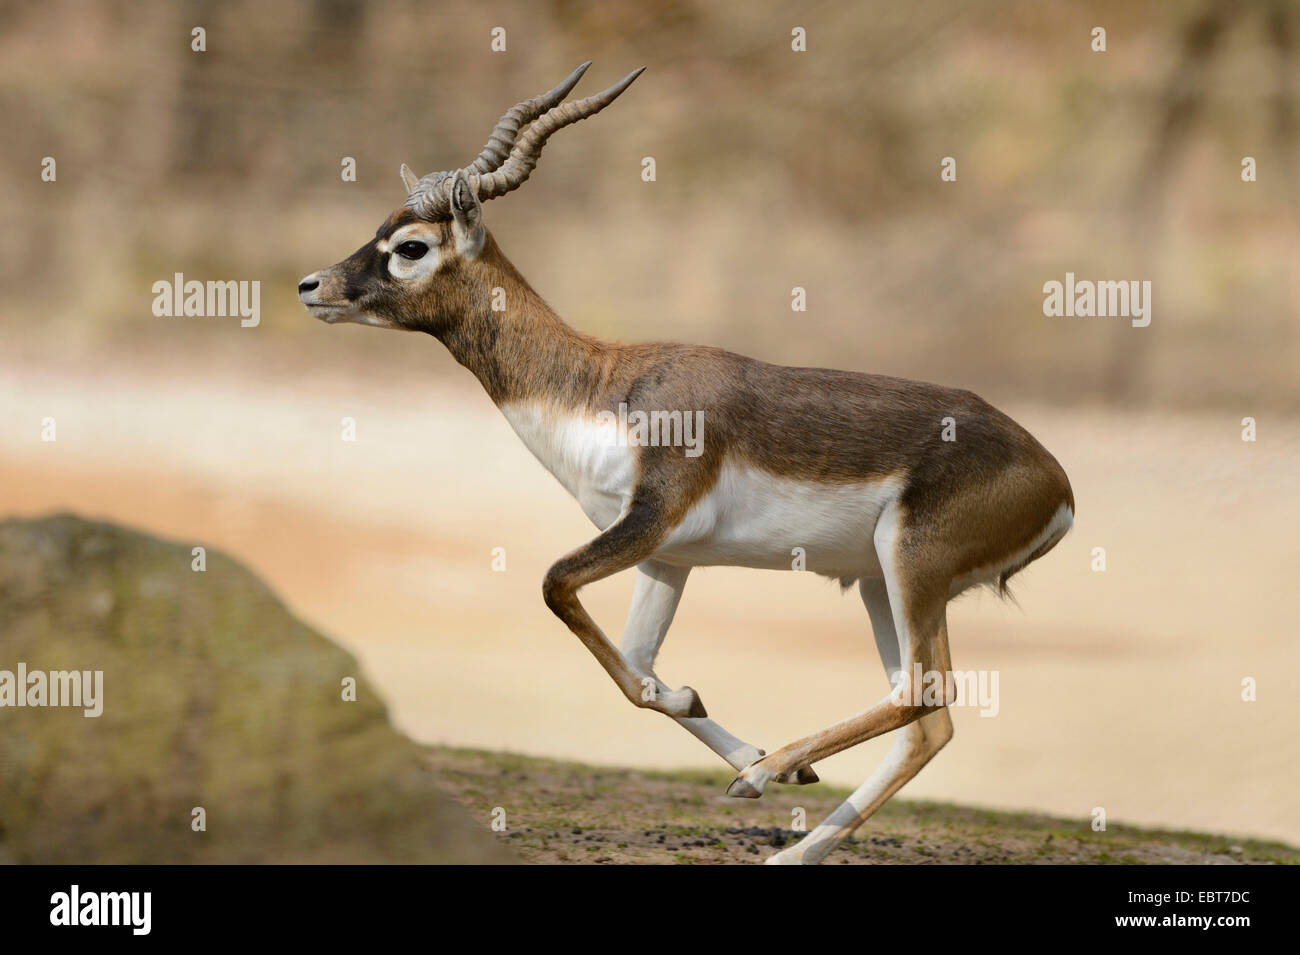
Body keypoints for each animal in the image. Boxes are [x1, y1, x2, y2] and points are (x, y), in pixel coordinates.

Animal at [297, 61, 1076, 867]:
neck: (599, 385)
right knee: (925, 718)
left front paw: (754, 757)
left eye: (412, 246)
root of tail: (1055, 478)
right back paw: (787, 834)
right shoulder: (666, 555)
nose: (311, 286)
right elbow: (639, 668)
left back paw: (769, 776)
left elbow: (556, 587)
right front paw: (732, 735)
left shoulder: (649, 520)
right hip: (875, 581)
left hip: (909, 566)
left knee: (927, 695)